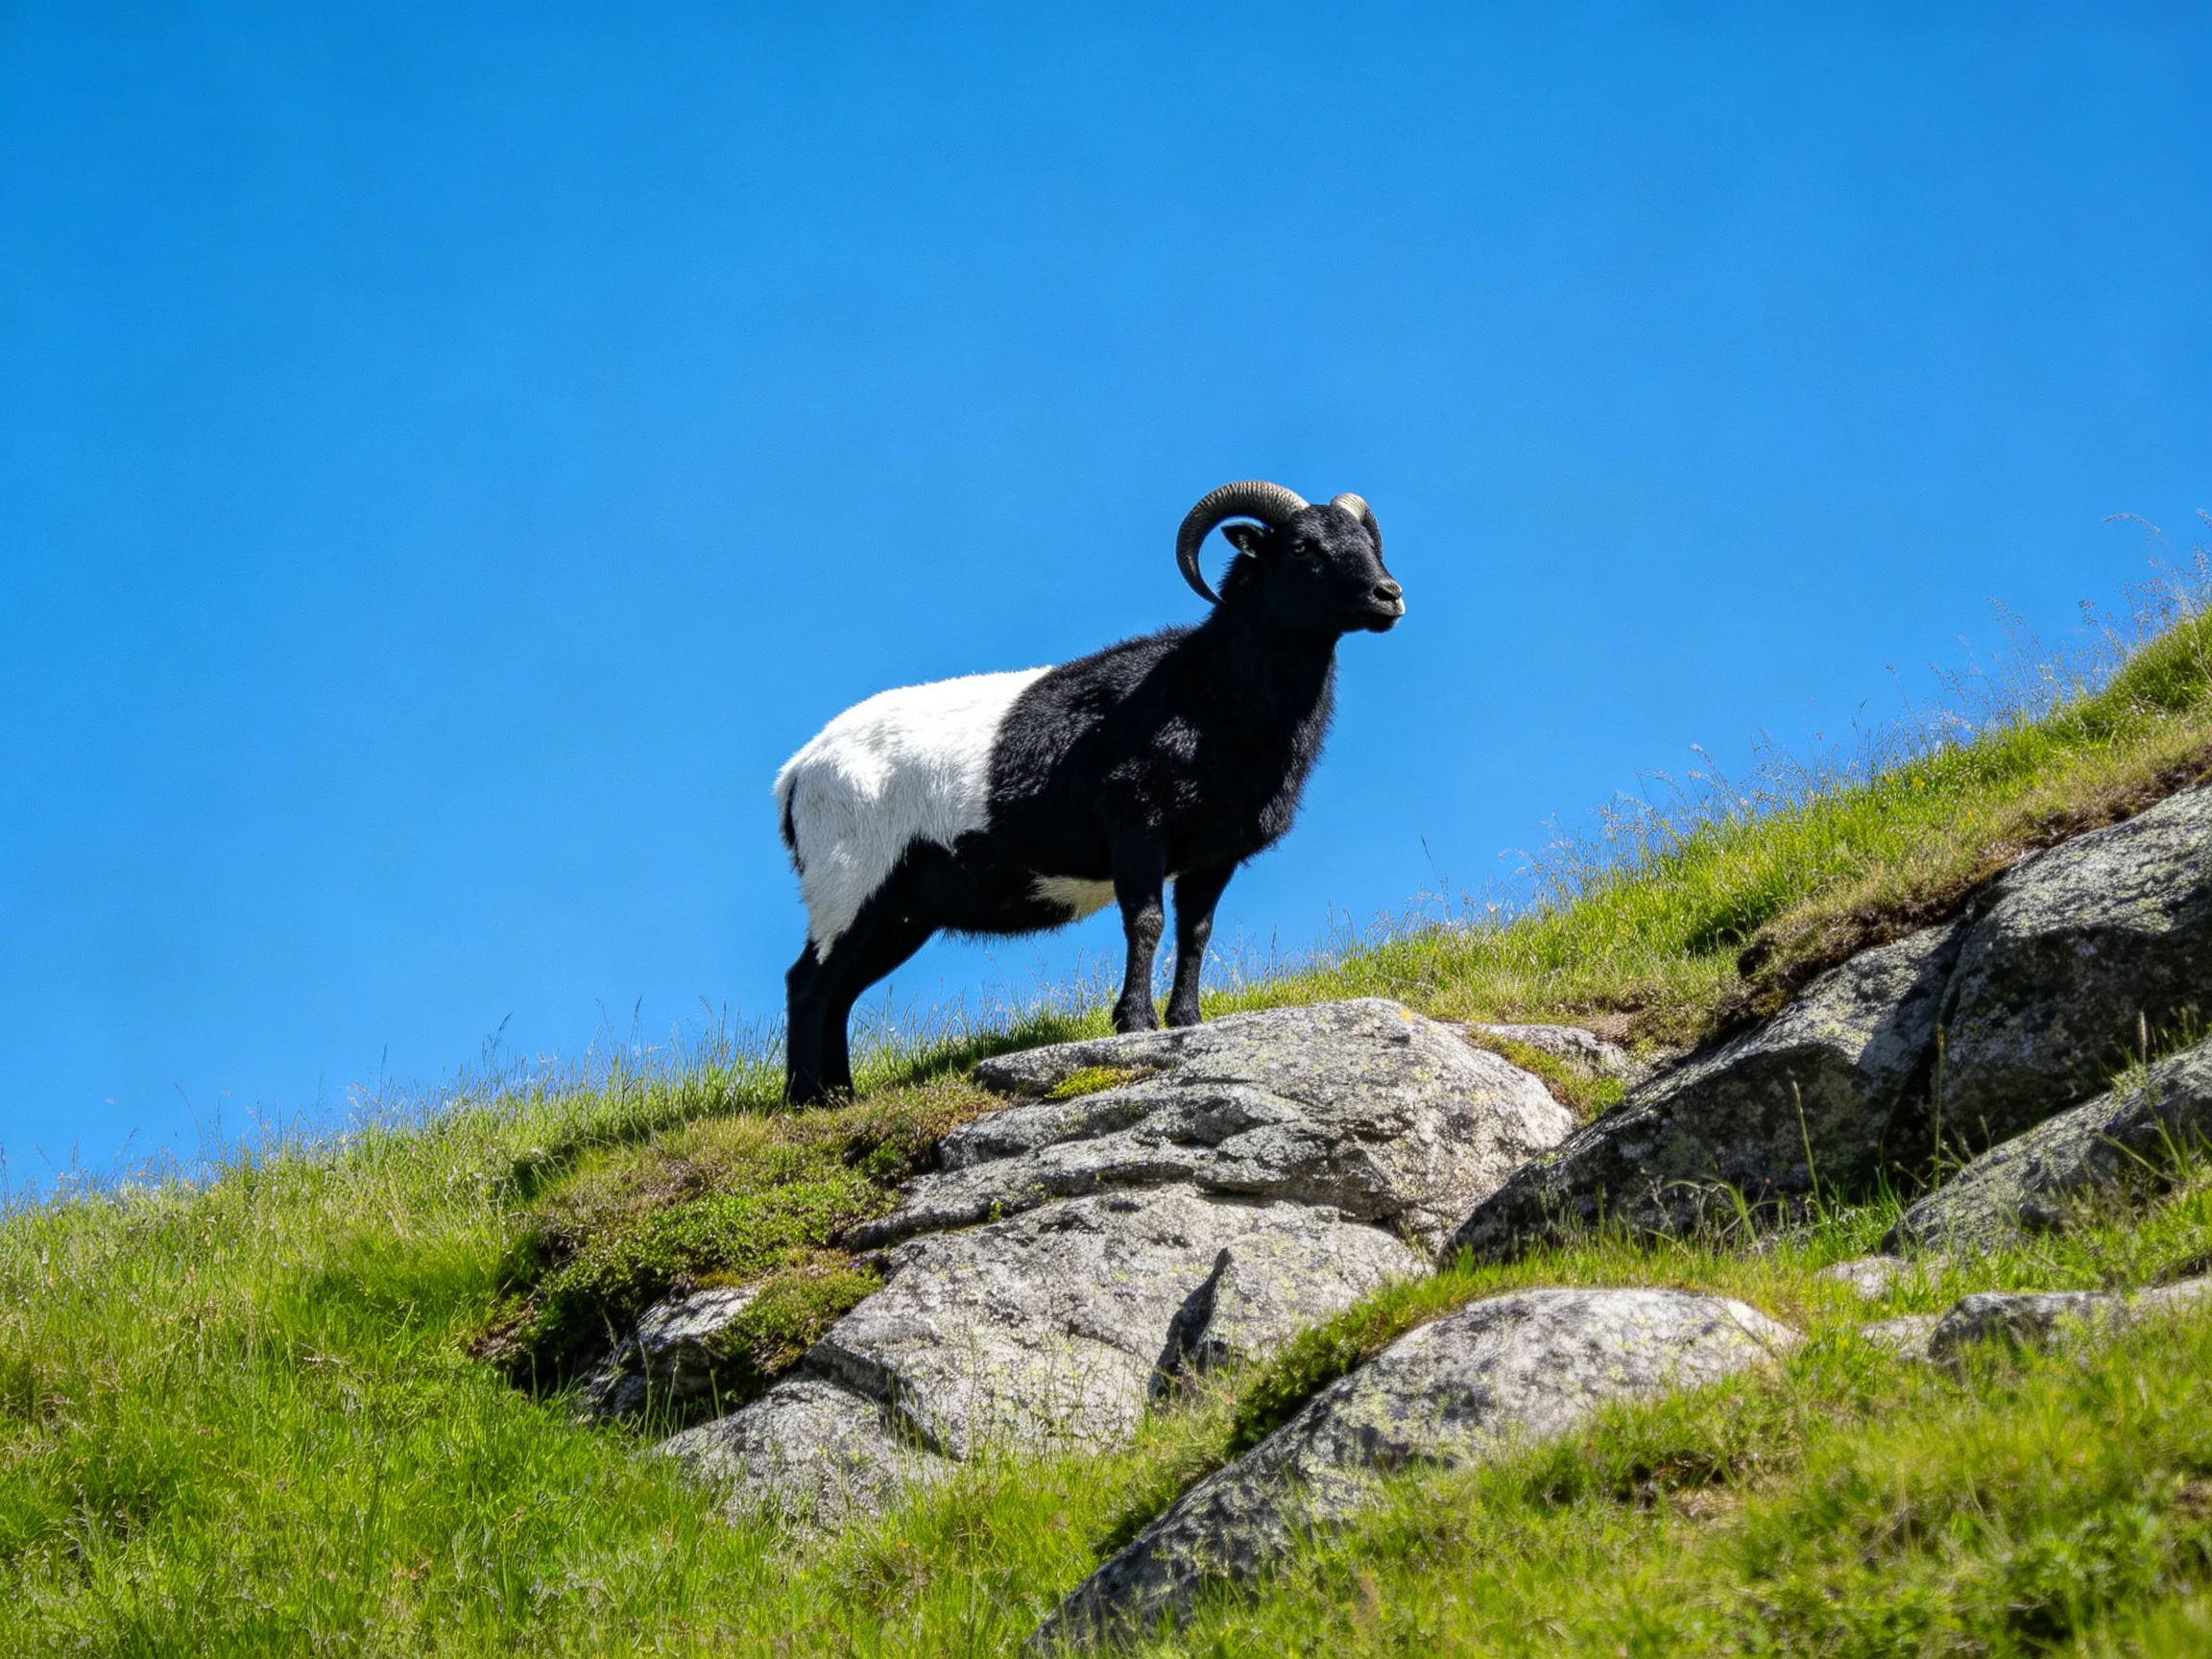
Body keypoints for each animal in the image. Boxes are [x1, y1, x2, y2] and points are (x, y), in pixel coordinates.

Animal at [773, 481, 1404, 1104]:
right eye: (1302, 547)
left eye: (1368, 540)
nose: (1390, 594)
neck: (1208, 688)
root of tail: (798, 773)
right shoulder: (1138, 828)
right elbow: (1146, 922)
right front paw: (1135, 1024)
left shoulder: (1213, 854)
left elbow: (1196, 932)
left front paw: (1188, 1021)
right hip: (849, 879)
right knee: (809, 983)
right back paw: (805, 1100)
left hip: (900, 911)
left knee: (841, 990)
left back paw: (839, 1097)